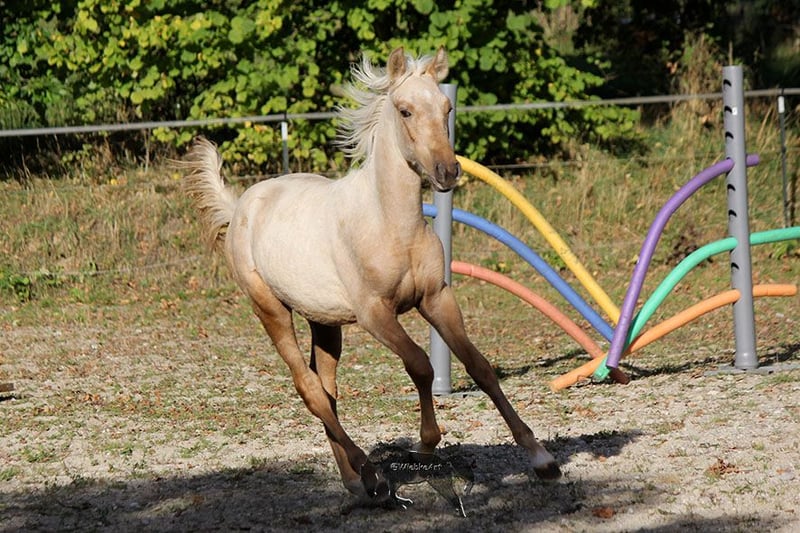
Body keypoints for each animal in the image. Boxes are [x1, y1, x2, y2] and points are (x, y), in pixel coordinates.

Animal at [181, 47, 561, 503]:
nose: (447, 172)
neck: (391, 224)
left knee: (327, 389)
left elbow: (480, 367)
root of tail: (241, 205)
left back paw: (354, 480)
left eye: (447, 108)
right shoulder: (375, 314)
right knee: (309, 388)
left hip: (325, 323)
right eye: (405, 110)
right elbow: (421, 366)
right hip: (270, 309)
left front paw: (542, 459)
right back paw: (371, 475)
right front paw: (424, 447)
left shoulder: (437, 298)